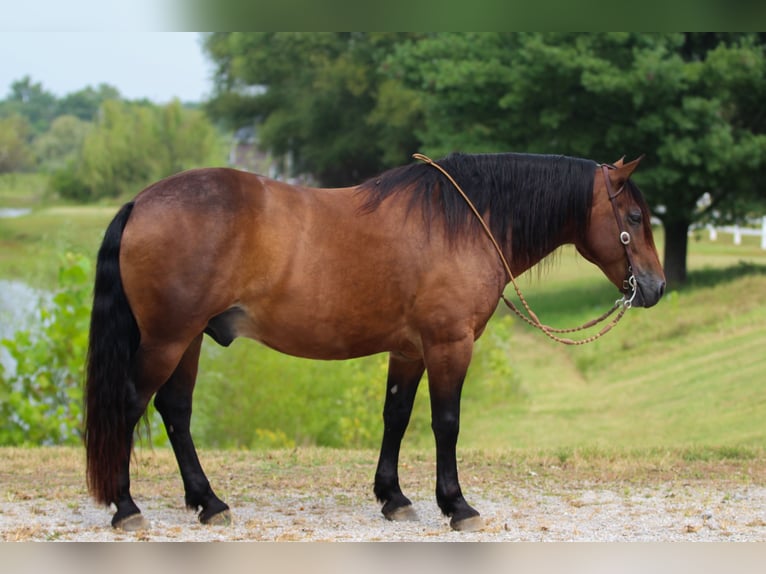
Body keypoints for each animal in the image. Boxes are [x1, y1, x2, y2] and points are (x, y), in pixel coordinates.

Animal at [84, 152, 665, 532]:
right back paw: (126, 507)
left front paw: (393, 497)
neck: (462, 223)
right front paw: (456, 505)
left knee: (175, 412)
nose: (656, 287)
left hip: (188, 341)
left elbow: (397, 416)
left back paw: (208, 502)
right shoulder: (449, 344)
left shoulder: (408, 350)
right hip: (168, 340)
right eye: (635, 217)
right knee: (131, 406)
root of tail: (141, 202)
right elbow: (446, 423)